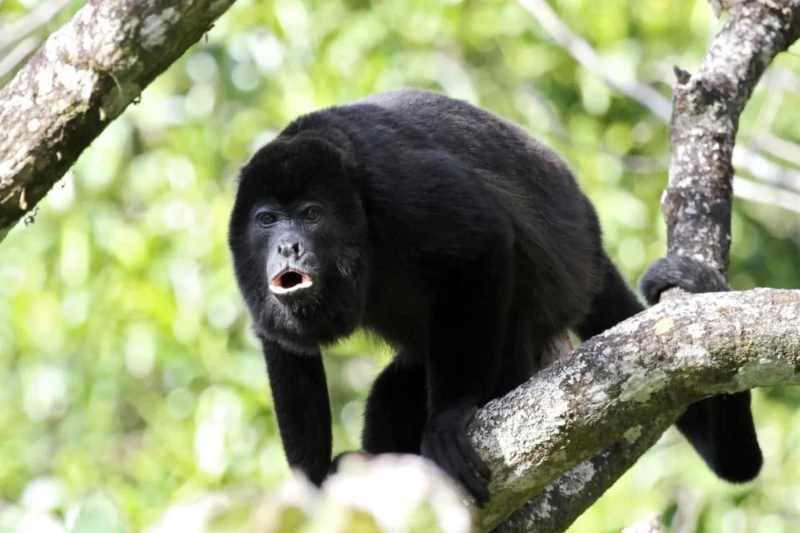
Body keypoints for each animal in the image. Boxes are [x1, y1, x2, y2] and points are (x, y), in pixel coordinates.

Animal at [227, 88, 761, 506]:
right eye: (267, 219)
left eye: (311, 214)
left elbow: (481, 242)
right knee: (392, 392)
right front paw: (312, 489)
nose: (288, 246)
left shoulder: (396, 188)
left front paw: (449, 419)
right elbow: (284, 343)